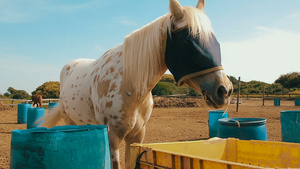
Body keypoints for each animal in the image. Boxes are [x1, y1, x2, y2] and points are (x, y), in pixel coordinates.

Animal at [39, 0, 233, 168]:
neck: (129, 86)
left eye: (216, 43)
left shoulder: (136, 137)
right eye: (190, 42)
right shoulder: (113, 137)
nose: (225, 90)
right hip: (70, 121)